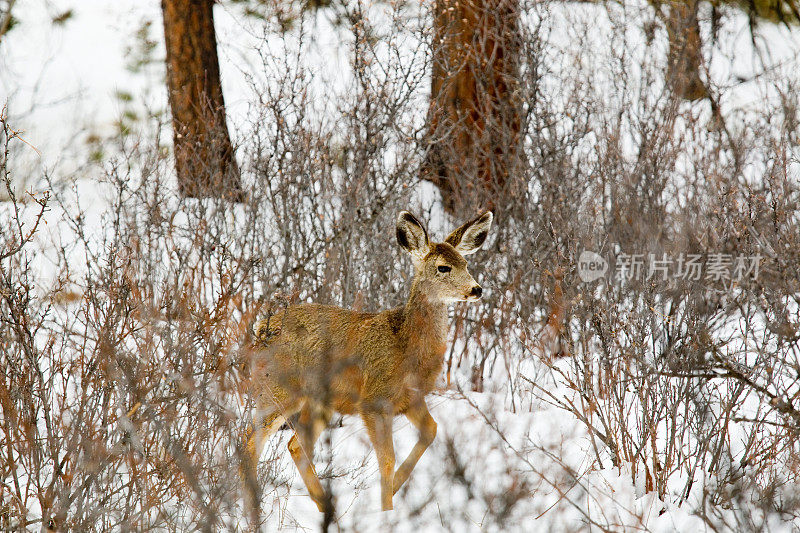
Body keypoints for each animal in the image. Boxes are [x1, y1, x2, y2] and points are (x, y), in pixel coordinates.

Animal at [244, 210, 494, 510]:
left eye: (465, 263)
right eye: (443, 267)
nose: (477, 289)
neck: (407, 346)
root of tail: (261, 328)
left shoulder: (412, 397)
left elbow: (431, 431)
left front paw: (396, 488)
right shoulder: (374, 400)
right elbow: (386, 459)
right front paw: (387, 509)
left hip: (319, 400)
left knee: (295, 445)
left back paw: (324, 505)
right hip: (278, 389)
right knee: (251, 443)